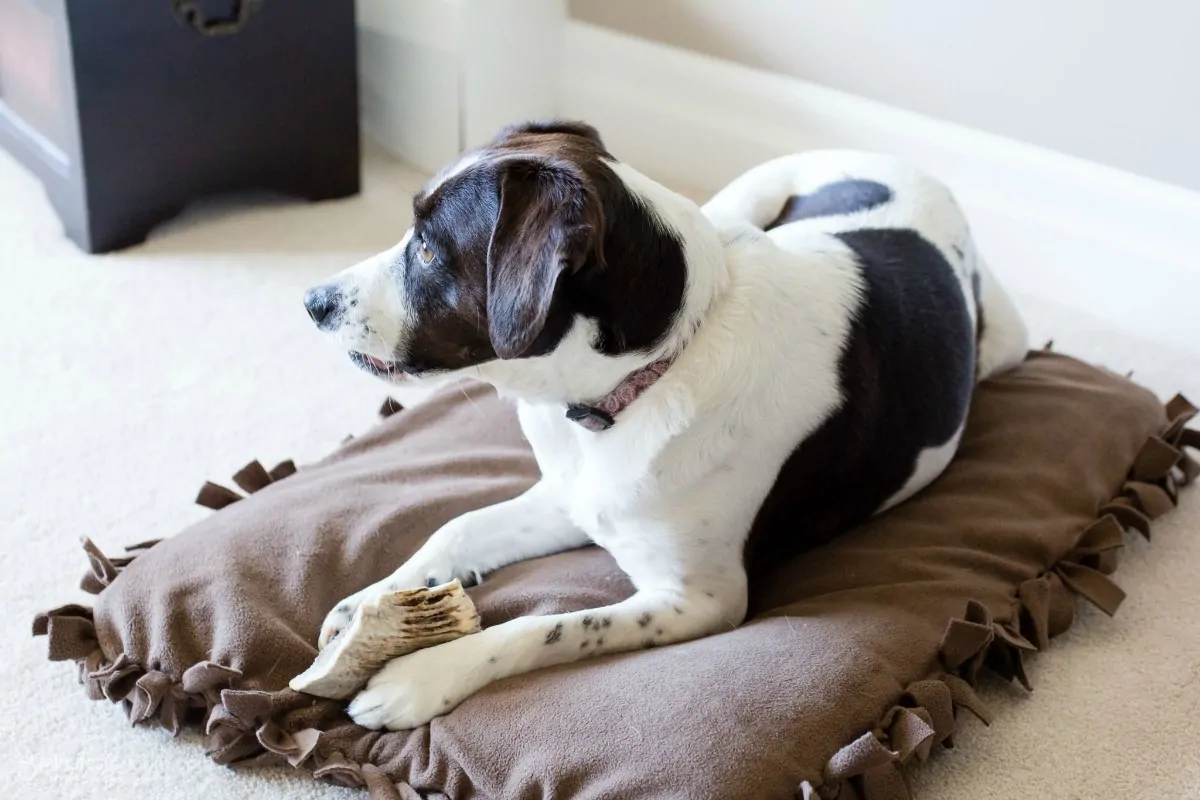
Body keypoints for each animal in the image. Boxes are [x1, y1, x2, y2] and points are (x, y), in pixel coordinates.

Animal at [304, 120, 1027, 734]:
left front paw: (419, 676)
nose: (313, 302)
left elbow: (543, 626)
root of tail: (904, 160)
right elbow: (456, 528)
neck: (646, 375)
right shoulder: (571, 497)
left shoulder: (700, 599)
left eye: (428, 250)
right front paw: (363, 610)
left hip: (1005, 346)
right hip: (740, 202)